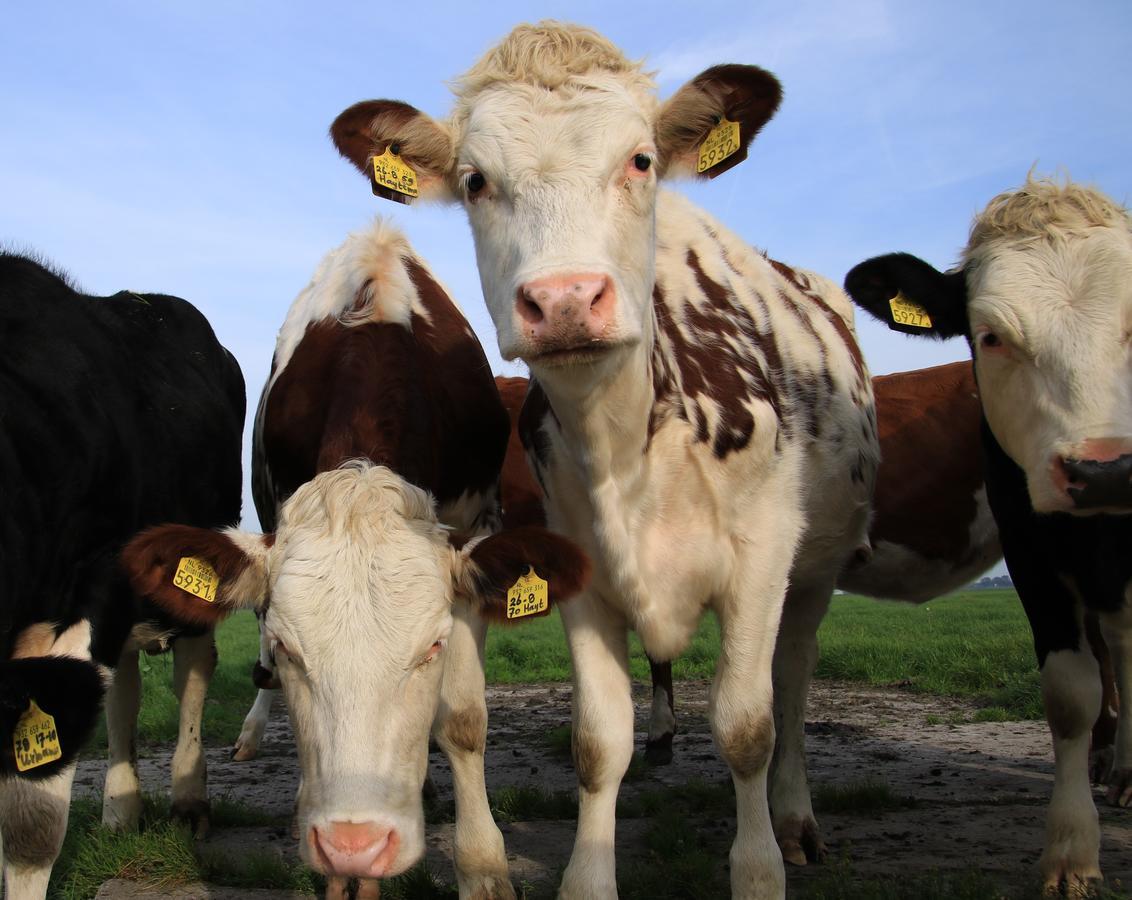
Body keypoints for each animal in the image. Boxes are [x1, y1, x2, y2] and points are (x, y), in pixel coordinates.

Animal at [120, 219, 588, 900]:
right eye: (289, 649)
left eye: (432, 647)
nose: (354, 845)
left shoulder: (476, 532)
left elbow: (463, 719)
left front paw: (482, 865)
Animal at [330, 22, 878, 900]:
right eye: (476, 181)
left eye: (640, 159)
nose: (563, 300)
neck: (628, 448)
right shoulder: (578, 570)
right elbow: (597, 743)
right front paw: (588, 877)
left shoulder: (762, 558)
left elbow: (748, 728)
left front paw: (758, 869)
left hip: (815, 569)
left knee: (793, 686)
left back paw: (795, 820)